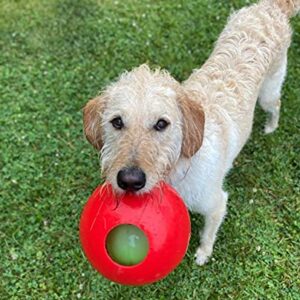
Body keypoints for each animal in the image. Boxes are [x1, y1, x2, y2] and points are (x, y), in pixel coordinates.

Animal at [82, 1, 300, 266]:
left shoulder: (217, 203)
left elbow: (209, 233)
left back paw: (271, 127)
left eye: (161, 124)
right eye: (117, 122)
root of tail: (271, 7)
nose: (130, 181)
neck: (178, 166)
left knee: (275, 105)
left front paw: (203, 254)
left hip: (269, 91)